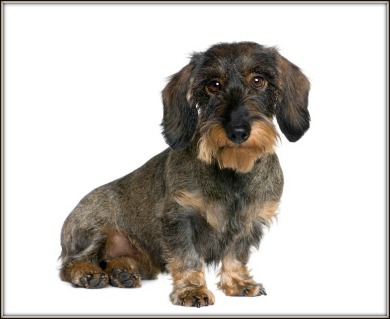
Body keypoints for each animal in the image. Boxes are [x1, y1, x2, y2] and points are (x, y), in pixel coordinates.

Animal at [59, 42, 310, 308]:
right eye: (213, 85)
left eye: (258, 80)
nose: (238, 131)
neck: (233, 170)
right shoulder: (179, 218)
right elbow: (187, 258)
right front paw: (192, 290)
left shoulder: (250, 222)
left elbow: (235, 255)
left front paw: (238, 283)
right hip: (94, 229)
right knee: (70, 264)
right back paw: (88, 274)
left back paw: (122, 272)